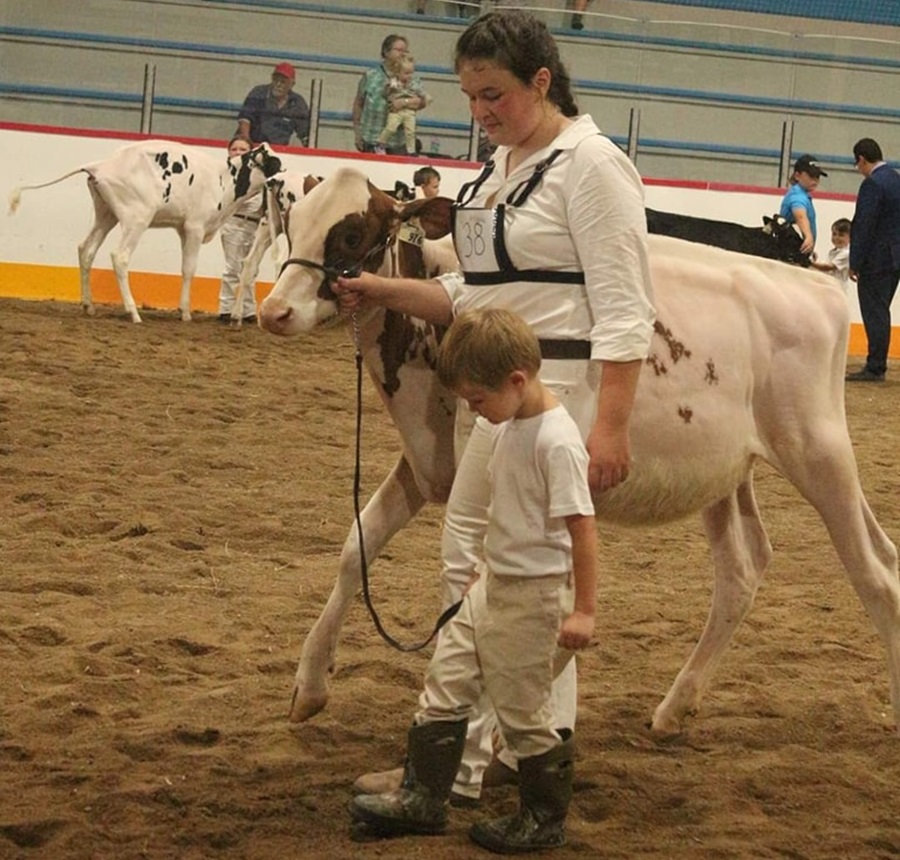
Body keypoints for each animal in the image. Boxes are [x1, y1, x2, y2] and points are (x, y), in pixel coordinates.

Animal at [8, 139, 283, 323]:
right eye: (275, 162)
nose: (284, 176)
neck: (224, 178)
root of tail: (101, 165)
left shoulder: (183, 228)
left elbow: (185, 268)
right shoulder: (194, 227)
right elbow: (189, 269)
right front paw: (185, 312)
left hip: (106, 215)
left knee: (86, 249)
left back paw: (88, 305)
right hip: (136, 219)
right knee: (119, 257)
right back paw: (133, 312)